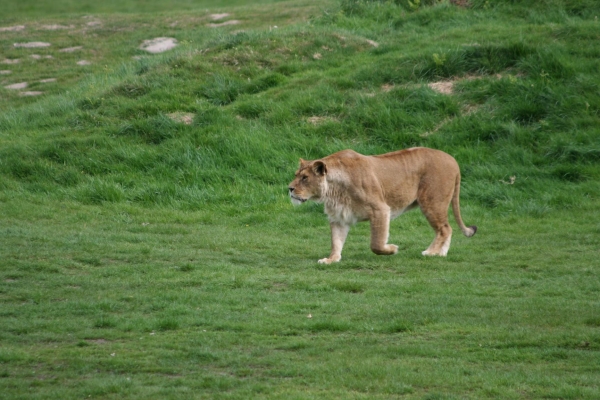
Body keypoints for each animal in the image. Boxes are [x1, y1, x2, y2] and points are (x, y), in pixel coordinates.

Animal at [288, 146, 476, 262]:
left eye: (304, 178)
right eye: (296, 175)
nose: (289, 188)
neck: (333, 190)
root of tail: (452, 159)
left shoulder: (380, 209)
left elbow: (376, 243)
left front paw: (392, 249)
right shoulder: (339, 217)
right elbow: (336, 241)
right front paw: (331, 259)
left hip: (431, 202)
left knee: (444, 229)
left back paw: (430, 252)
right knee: (447, 228)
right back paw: (441, 254)